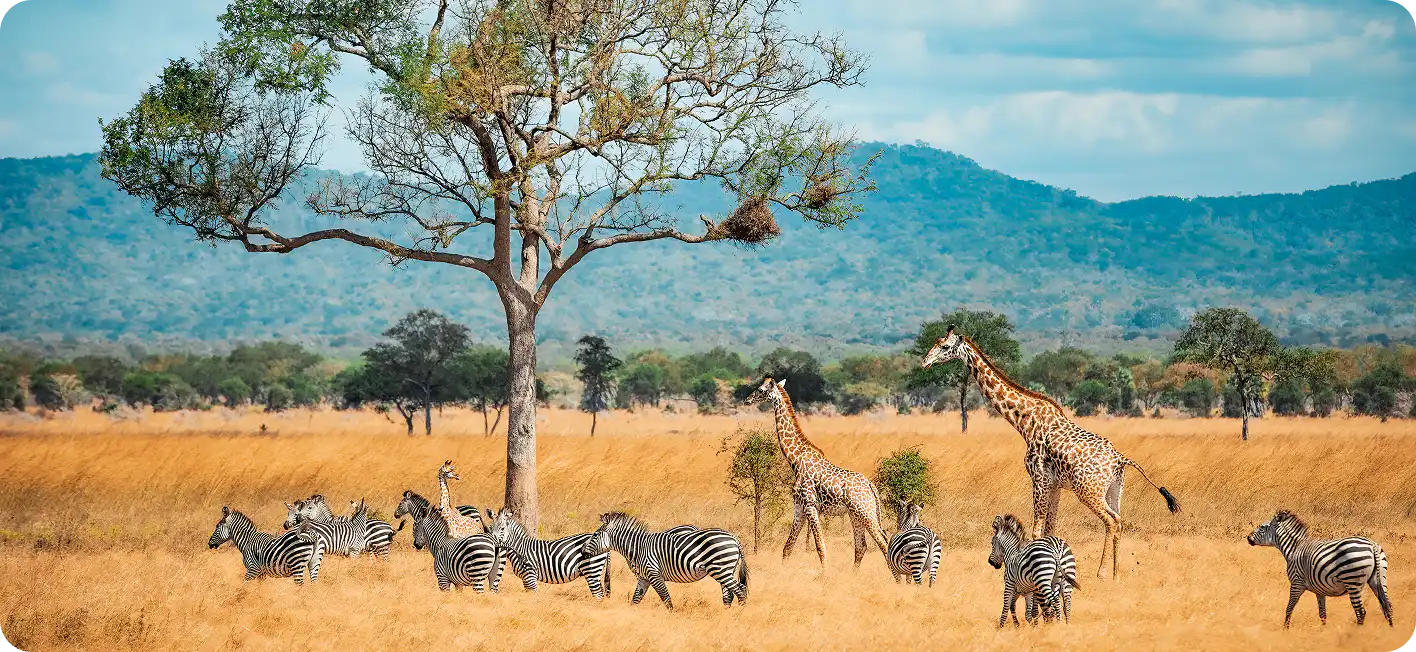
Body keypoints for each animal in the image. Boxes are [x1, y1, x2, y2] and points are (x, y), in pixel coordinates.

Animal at [582, 511, 747, 610]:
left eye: (595, 535)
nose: (582, 552)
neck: (638, 547)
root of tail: (734, 538)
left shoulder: (654, 574)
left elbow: (666, 598)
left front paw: (672, 618)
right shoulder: (643, 578)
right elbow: (636, 599)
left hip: (721, 569)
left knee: (740, 589)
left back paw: (740, 614)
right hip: (726, 570)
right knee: (729, 593)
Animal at [744, 376, 890, 571]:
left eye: (760, 390)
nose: (747, 400)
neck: (795, 458)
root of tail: (871, 486)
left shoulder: (811, 505)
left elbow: (820, 546)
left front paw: (824, 574)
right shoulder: (799, 506)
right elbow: (787, 547)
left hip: (865, 512)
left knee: (883, 542)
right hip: (855, 514)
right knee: (862, 546)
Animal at [921, 326, 1181, 579]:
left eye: (945, 346)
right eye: (936, 342)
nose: (925, 361)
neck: (1024, 423)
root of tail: (1119, 459)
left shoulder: (1039, 479)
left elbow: (1036, 531)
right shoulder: (1055, 485)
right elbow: (1050, 529)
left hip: (1089, 492)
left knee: (1111, 521)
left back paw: (1102, 572)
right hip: (1114, 490)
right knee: (1119, 519)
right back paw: (1117, 574)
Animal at [1247, 510, 1394, 628]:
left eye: (1262, 527)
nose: (1248, 538)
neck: (1294, 548)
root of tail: (1372, 545)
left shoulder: (1296, 583)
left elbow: (1289, 608)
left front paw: (1285, 629)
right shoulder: (1320, 589)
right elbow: (1322, 613)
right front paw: (1323, 631)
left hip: (1353, 581)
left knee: (1361, 612)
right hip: (1379, 578)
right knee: (1388, 606)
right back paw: (1390, 631)